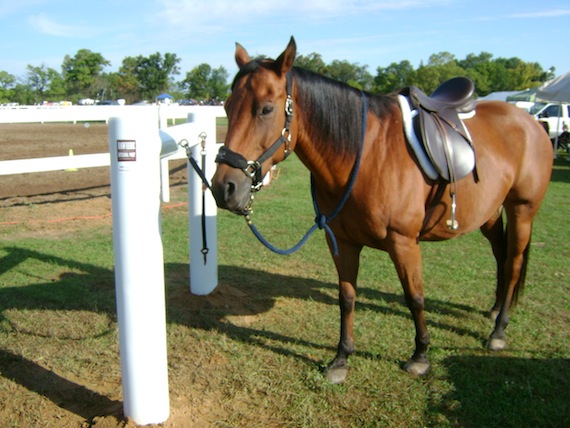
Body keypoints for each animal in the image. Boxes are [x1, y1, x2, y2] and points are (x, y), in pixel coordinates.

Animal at [210, 37, 552, 384]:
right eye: (226, 106)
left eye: (266, 109)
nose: (224, 188)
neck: (365, 154)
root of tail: (532, 122)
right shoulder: (342, 242)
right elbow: (347, 297)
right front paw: (341, 358)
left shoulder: (404, 243)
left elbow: (415, 297)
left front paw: (420, 355)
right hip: (490, 213)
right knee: (500, 254)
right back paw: (495, 310)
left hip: (522, 210)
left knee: (513, 262)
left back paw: (498, 330)